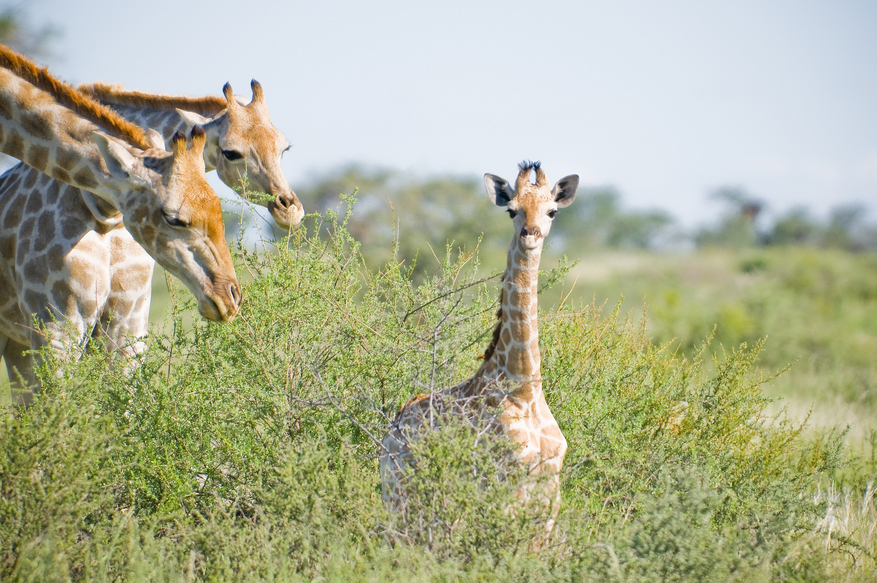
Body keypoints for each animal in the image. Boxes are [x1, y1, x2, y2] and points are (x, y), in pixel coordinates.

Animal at [382, 162, 576, 536]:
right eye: (512, 209)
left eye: (552, 211)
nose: (530, 235)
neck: (524, 387)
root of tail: (395, 423)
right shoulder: (508, 481)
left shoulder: (550, 487)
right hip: (398, 490)